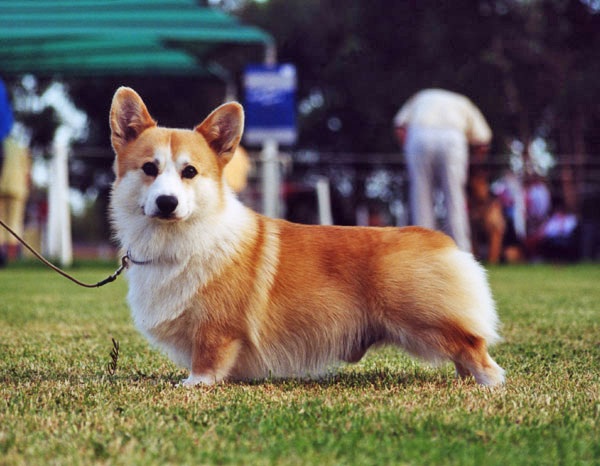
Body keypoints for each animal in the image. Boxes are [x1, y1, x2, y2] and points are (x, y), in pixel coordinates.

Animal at [110, 86, 504, 386]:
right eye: (149, 168)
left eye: (190, 171)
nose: (167, 202)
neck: (180, 239)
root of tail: (444, 242)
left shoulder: (216, 330)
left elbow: (208, 360)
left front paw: (193, 384)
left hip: (426, 321)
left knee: (474, 348)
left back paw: (489, 383)